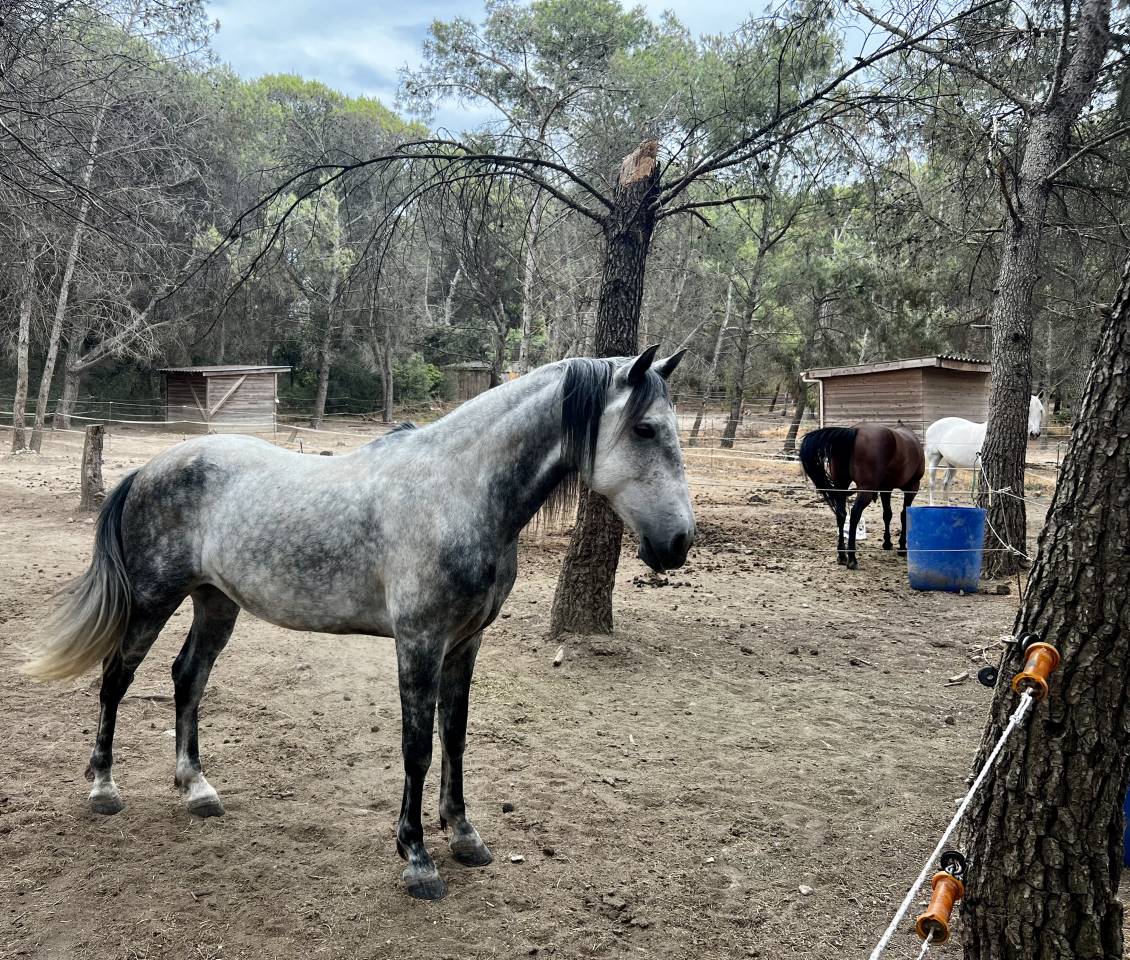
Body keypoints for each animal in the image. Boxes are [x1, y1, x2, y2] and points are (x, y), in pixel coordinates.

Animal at [24, 347, 695, 901]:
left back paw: (197, 789)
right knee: (116, 679)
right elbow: (417, 747)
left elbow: (455, 737)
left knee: (188, 678)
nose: (678, 543)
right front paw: (417, 858)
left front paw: (464, 836)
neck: (457, 490)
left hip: (216, 601)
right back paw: (103, 788)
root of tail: (149, 469)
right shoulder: (419, 643)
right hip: (152, 600)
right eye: (644, 428)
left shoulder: (465, 644)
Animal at [798, 423, 925, 569]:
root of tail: (855, 430)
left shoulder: (886, 489)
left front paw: (887, 543)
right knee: (855, 514)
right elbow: (904, 515)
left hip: (841, 486)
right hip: (866, 490)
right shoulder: (912, 487)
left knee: (841, 514)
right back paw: (852, 559)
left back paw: (842, 555)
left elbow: (887, 514)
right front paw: (902, 547)